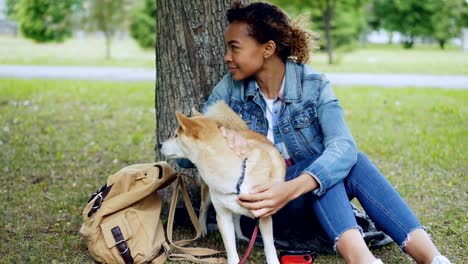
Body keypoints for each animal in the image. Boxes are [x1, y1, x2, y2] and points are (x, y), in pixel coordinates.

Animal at [160, 100, 286, 262]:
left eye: (176, 135)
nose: (160, 144)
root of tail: (242, 130)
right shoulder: (222, 216)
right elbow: (230, 248)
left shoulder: (264, 213)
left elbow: (269, 246)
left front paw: (272, 260)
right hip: (207, 194)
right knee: (203, 209)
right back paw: (202, 230)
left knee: (237, 217)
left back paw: (240, 236)